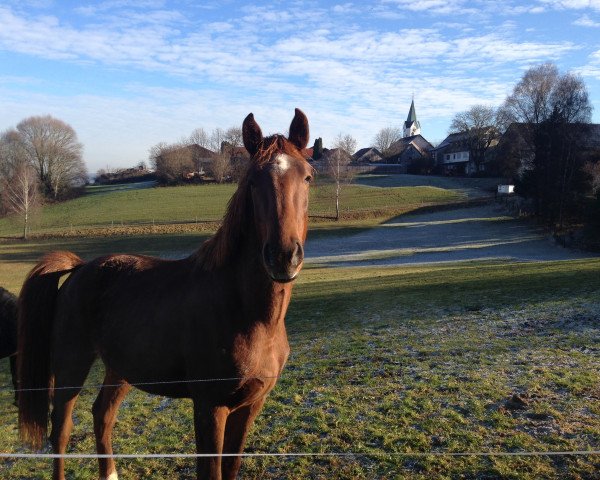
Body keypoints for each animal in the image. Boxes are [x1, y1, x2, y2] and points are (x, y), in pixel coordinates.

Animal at [17, 109, 314, 480]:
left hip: (120, 368)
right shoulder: (210, 407)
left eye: (307, 177)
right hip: (72, 365)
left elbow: (230, 467)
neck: (249, 316)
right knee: (61, 430)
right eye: (252, 182)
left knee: (102, 415)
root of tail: (80, 269)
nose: (283, 257)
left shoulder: (250, 405)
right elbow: (211, 470)